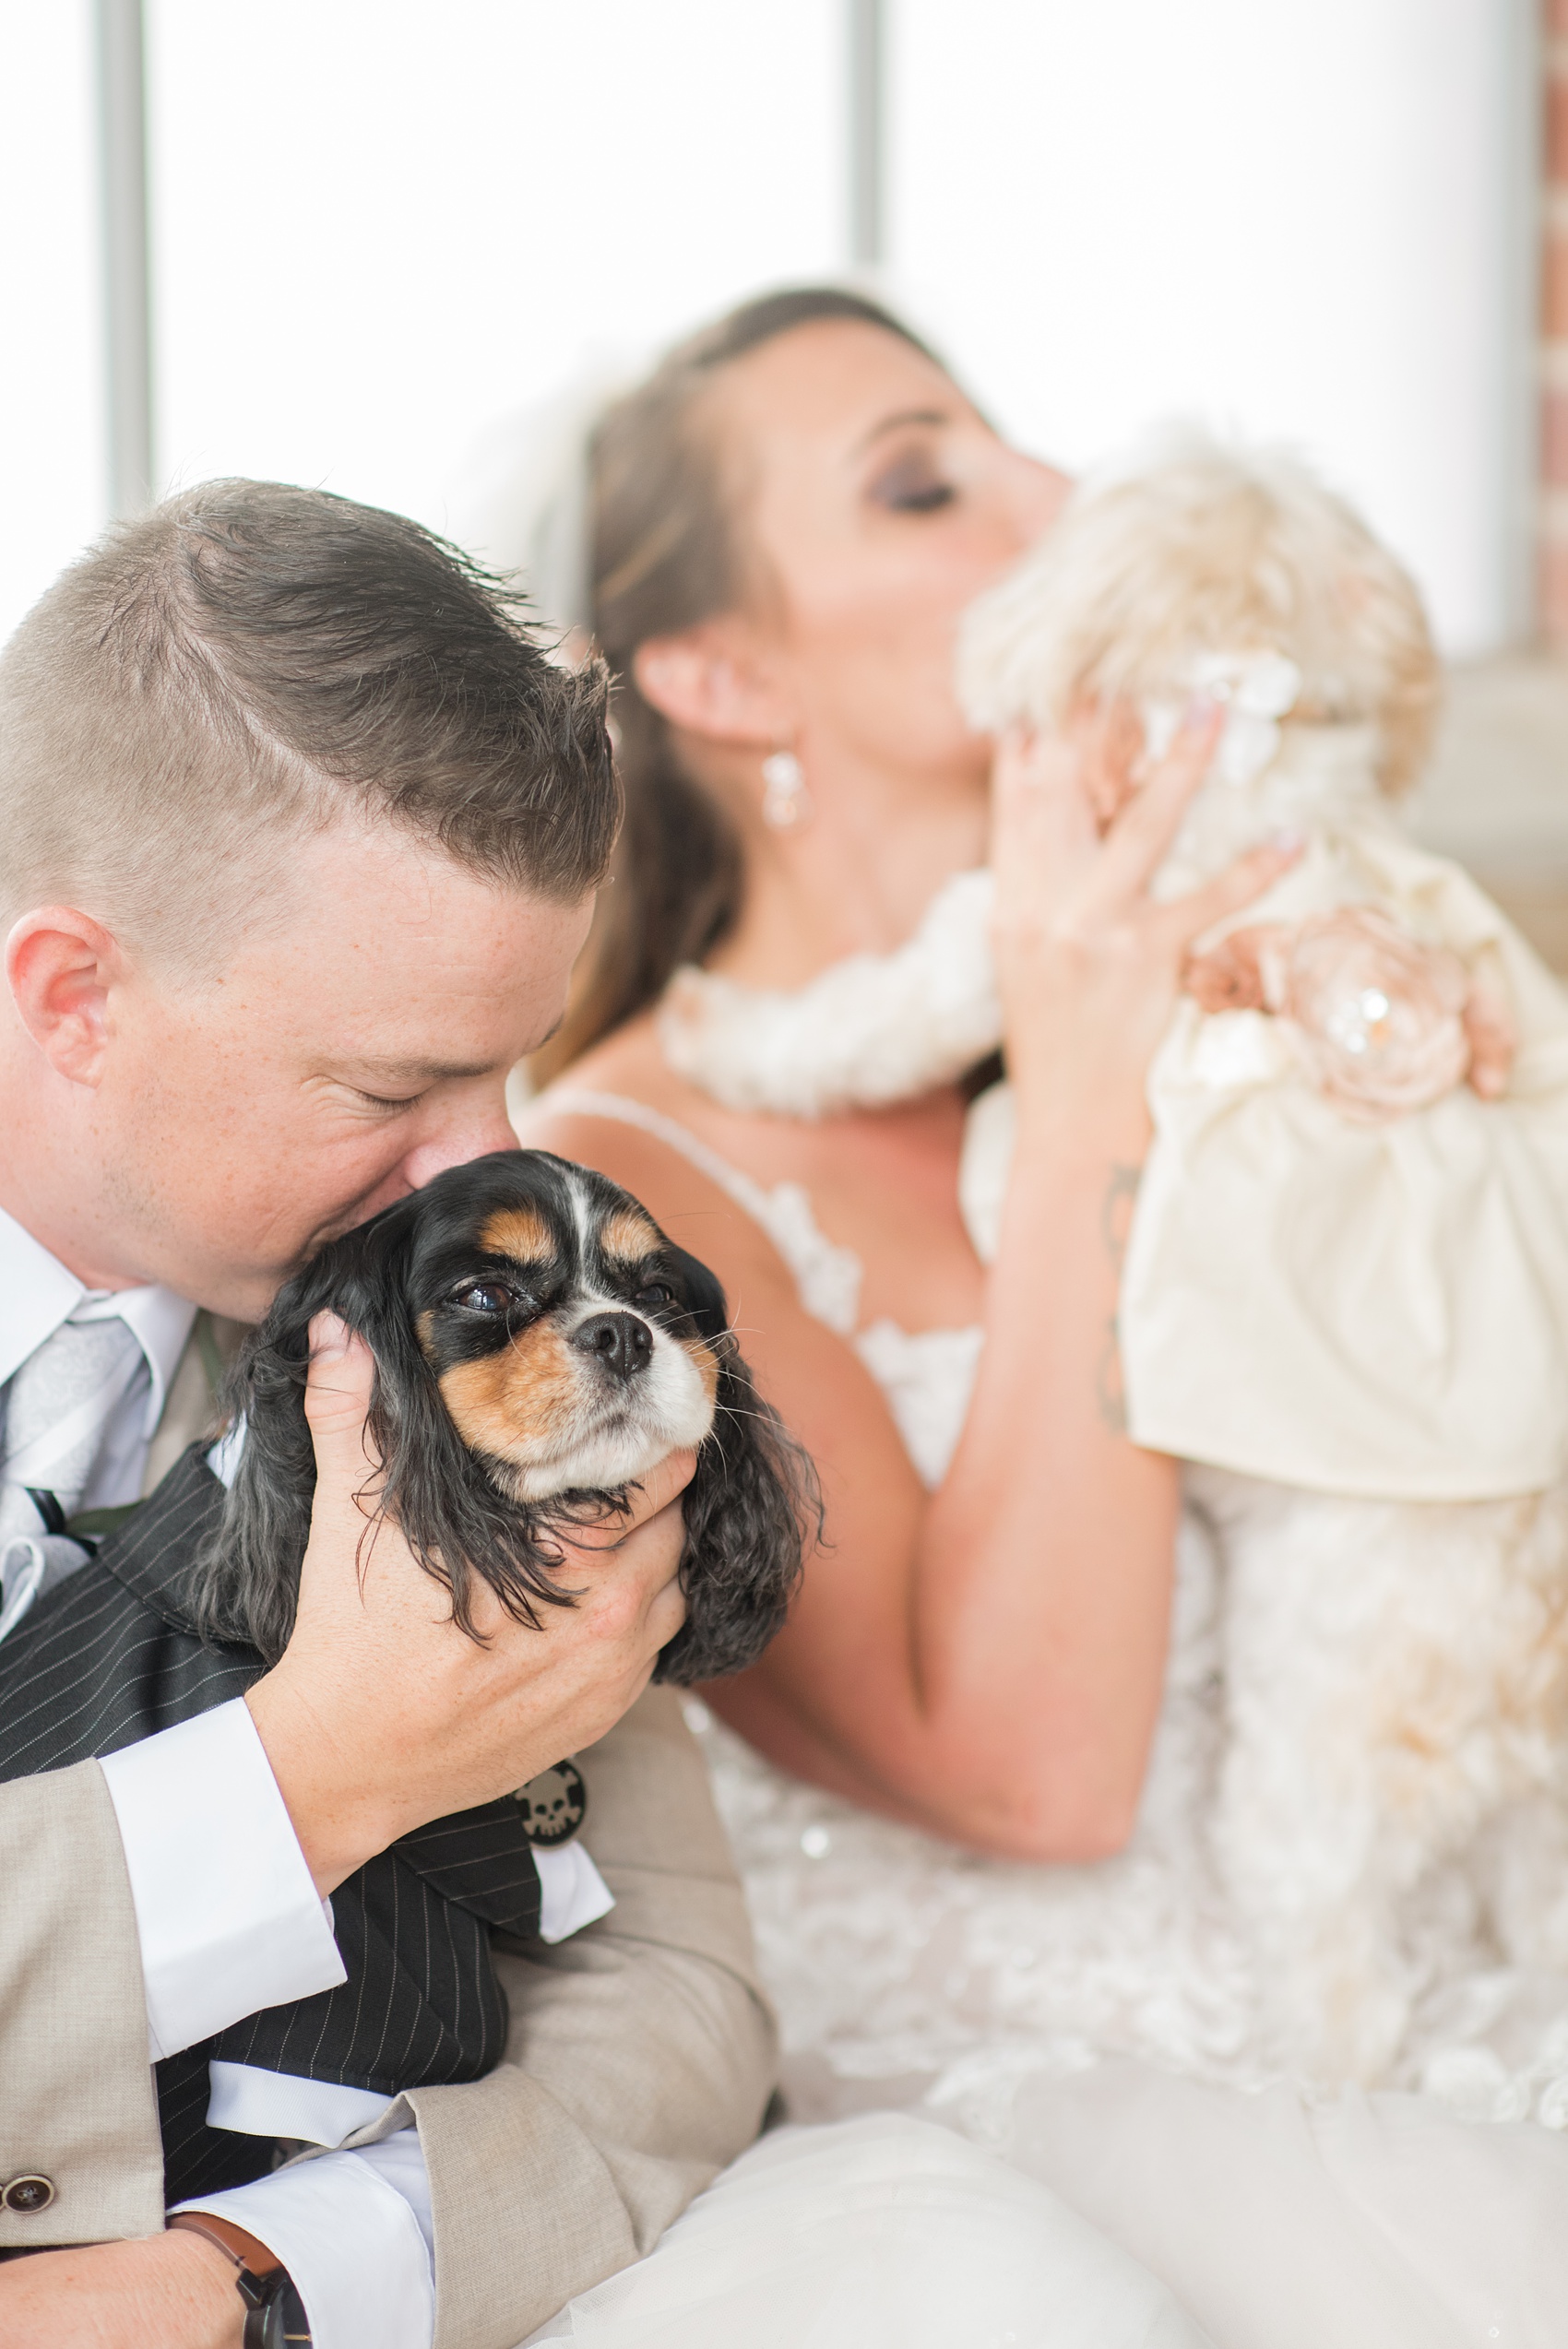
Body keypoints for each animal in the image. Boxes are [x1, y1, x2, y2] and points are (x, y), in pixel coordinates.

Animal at [958, 436, 1568, 2076]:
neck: (1251, 736)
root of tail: (1515, 1680)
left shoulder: (1002, 942)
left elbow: (876, 1015)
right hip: (1537, 1848)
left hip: (1306, 1808)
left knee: (1344, 1995)